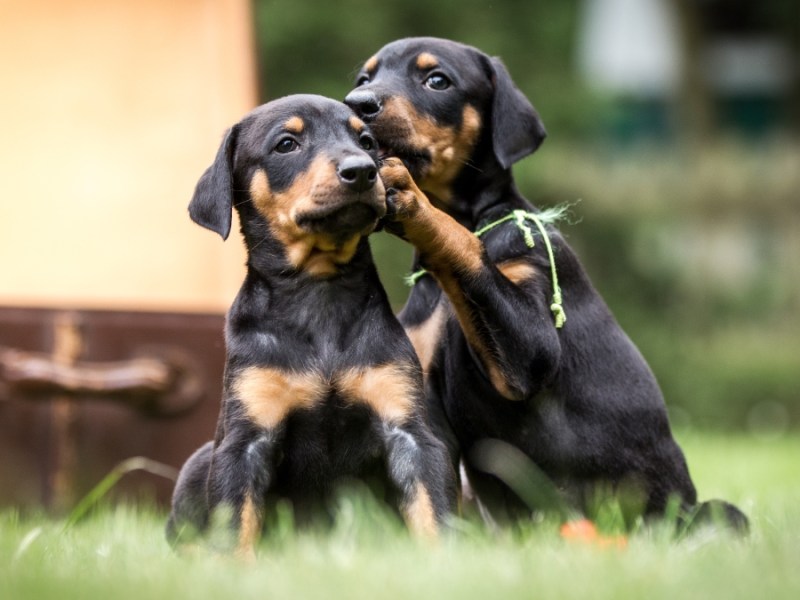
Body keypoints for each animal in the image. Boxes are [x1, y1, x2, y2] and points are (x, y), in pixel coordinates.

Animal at [166, 94, 456, 556]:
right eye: (287, 144)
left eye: (366, 141)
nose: (362, 170)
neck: (318, 289)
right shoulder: (244, 441)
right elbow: (235, 525)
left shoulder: (410, 431)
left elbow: (432, 511)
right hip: (199, 462)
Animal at [346, 37, 752, 528]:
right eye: (363, 78)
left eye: (436, 80)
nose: (357, 104)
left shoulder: (530, 346)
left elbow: (466, 246)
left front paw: (413, 202)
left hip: (706, 513)